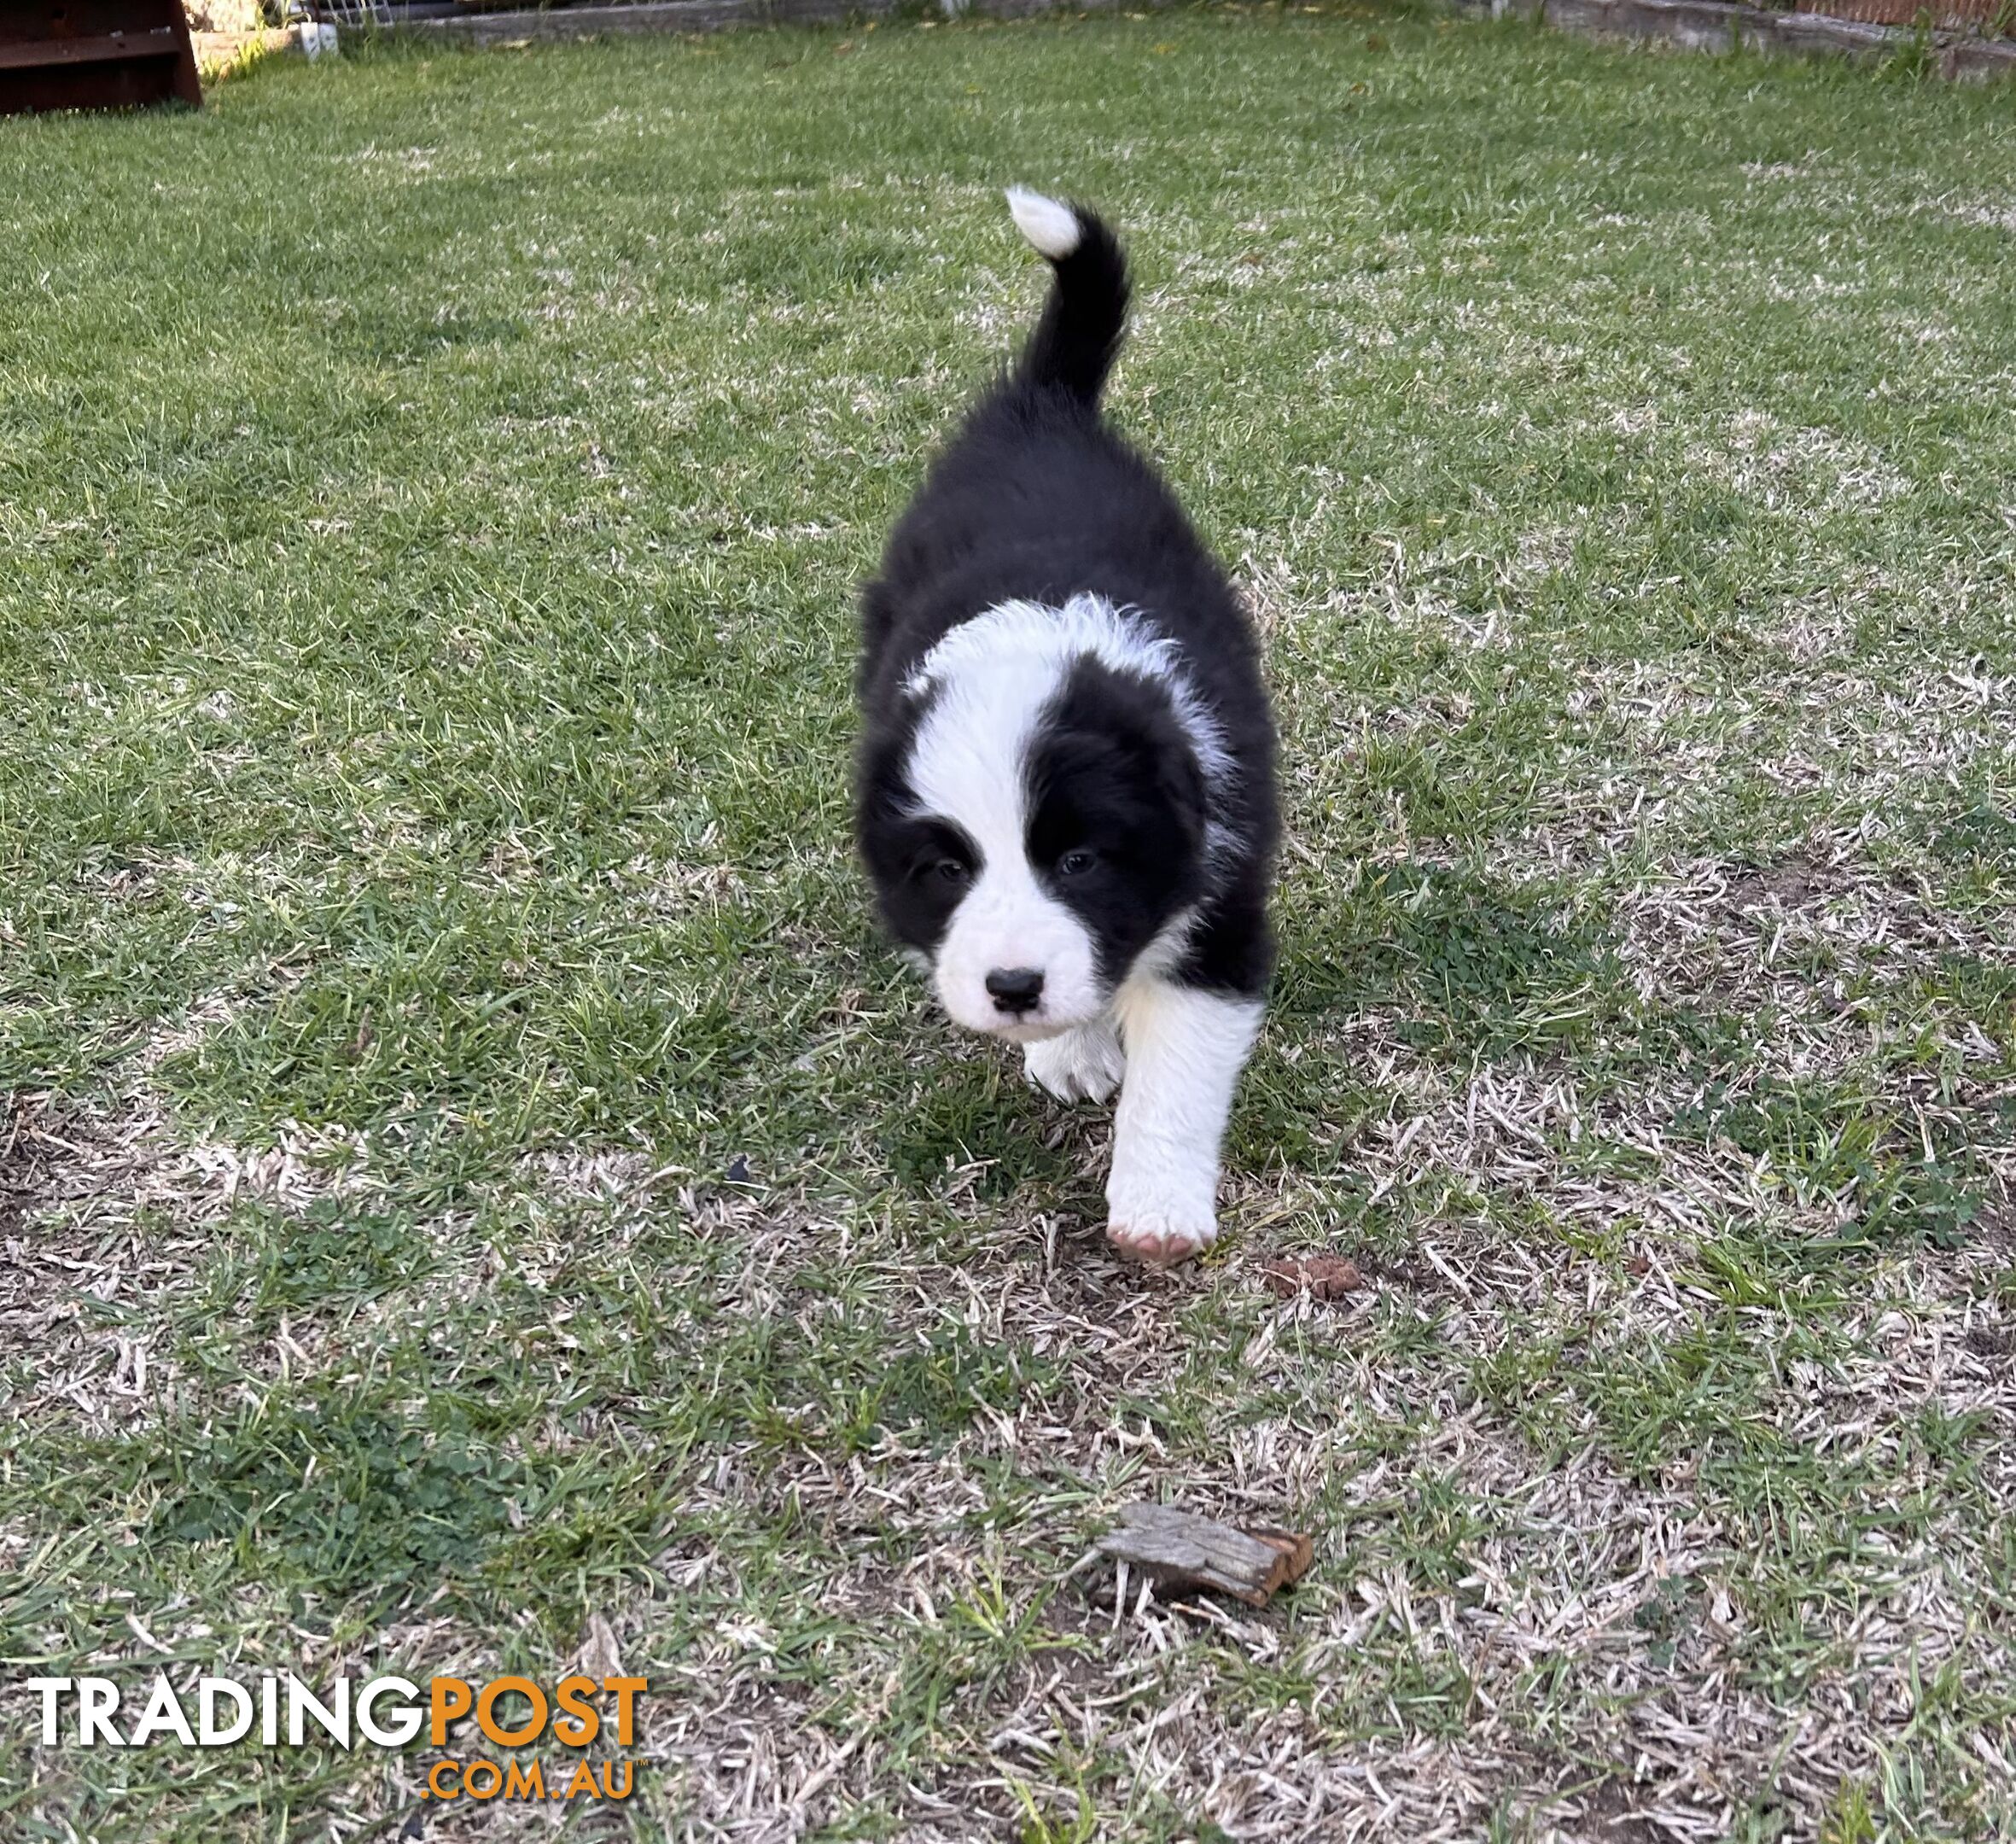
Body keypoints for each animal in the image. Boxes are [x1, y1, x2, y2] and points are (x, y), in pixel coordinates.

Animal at [850, 193, 1273, 1275]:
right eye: (946, 870)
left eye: (1079, 860)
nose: (1010, 987)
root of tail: (1041, 404)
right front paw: (1067, 1046)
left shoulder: (1221, 893)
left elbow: (1178, 1076)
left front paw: (1158, 1210)